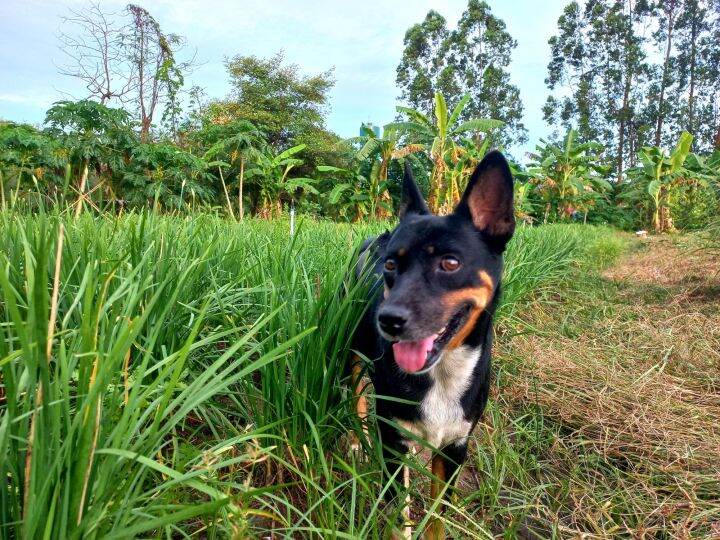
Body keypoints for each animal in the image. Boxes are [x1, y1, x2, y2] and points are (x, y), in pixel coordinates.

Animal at [352, 150, 516, 536]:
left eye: (450, 262)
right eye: (391, 265)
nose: (388, 320)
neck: (442, 373)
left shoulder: (455, 447)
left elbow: (437, 517)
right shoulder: (394, 442)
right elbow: (400, 517)